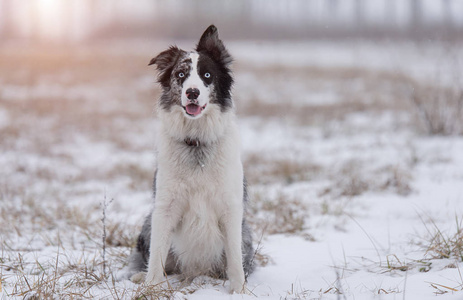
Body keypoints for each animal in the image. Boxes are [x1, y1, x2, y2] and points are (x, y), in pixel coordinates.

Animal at [123, 25, 254, 292]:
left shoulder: (231, 208)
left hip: (246, 232)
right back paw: (140, 276)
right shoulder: (164, 207)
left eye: (207, 75)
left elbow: (235, 259)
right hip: (148, 222)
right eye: (181, 74)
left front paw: (239, 290)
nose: (192, 92)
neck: (196, 143)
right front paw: (151, 287)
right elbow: (157, 255)